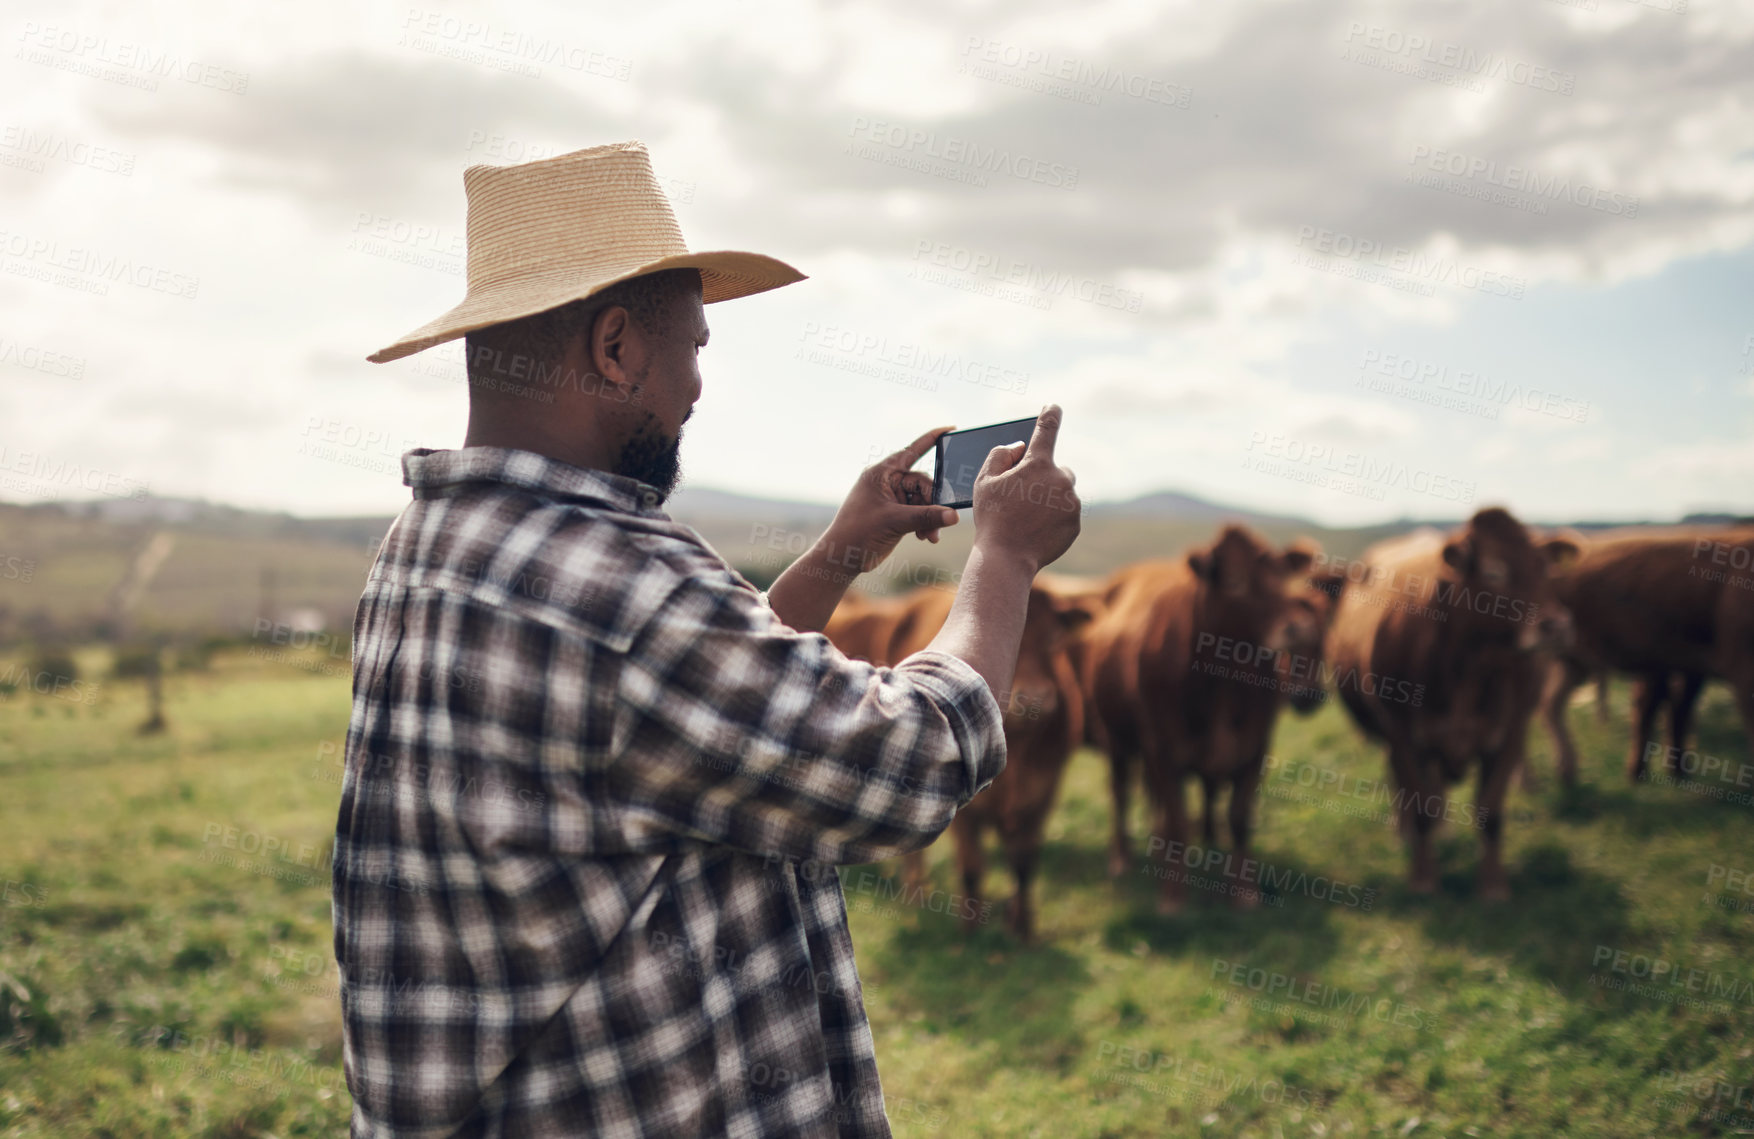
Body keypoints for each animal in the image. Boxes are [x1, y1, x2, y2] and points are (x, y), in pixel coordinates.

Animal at [820, 582, 1094, 940]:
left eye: (1054, 639)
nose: (1035, 697)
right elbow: (972, 865)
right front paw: (970, 930)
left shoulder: (1044, 790)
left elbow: (1024, 862)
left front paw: (1022, 928)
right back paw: (915, 892)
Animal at [1066, 526, 1326, 912]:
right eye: (1234, 582)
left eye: (1281, 577)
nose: (1297, 628)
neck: (1224, 685)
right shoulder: (1162, 748)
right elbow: (1178, 820)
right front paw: (1174, 897)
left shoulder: (1256, 747)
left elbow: (1239, 817)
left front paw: (1244, 891)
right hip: (1115, 737)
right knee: (1121, 792)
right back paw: (1121, 858)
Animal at [1326, 505, 1578, 898]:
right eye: (1493, 571)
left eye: (1545, 568)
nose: (1557, 626)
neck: (1468, 667)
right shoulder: (1403, 737)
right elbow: (1418, 808)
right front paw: (1423, 879)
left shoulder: (1510, 734)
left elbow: (1490, 811)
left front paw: (1493, 886)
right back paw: (1403, 835)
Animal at [1543, 526, 1754, 782]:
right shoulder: (1737, 669)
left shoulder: (1685, 667)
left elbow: (1675, 709)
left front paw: (1676, 771)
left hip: (1572, 662)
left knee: (1552, 704)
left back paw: (1567, 772)